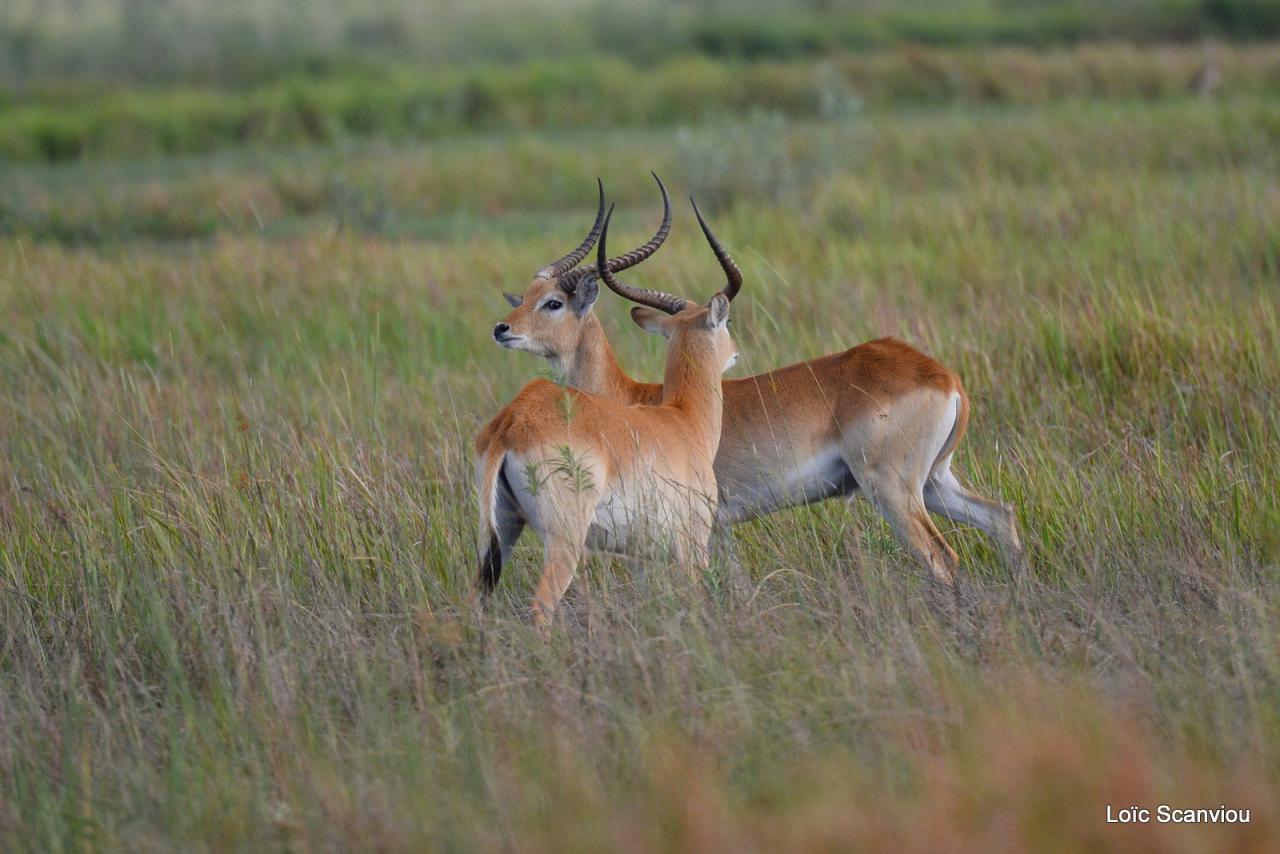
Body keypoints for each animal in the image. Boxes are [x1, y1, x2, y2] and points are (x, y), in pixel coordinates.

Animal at [476, 201, 742, 627]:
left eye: (550, 300)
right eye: (727, 320)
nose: (502, 328)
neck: (681, 419)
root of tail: (511, 425)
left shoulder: (638, 557)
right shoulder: (693, 546)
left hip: (498, 537)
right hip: (564, 541)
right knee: (541, 606)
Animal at [494, 176, 1024, 583]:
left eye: (554, 303)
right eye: (527, 296)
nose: (502, 329)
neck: (638, 401)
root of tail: (941, 375)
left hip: (892, 489)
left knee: (941, 557)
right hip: (934, 481)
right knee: (1001, 518)